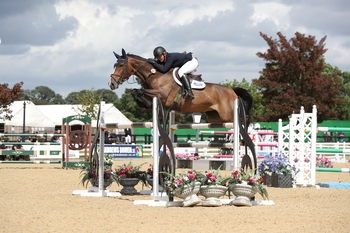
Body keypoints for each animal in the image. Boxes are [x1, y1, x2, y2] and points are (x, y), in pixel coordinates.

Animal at [108, 48, 253, 123]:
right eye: (114, 65)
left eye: (121, 65)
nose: (111, 84)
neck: (155, 74)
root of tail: (232, 90)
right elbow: (135, 91)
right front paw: (146, 104)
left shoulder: (163, 96)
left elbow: (139, 91)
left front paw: (146, 103)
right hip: (215, 117)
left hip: (228, 116)